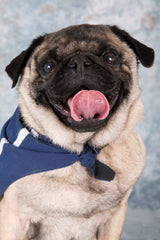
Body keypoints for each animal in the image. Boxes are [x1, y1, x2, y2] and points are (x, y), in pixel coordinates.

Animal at [0, 23, 155, 240]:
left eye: (110, 57)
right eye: (48, 66)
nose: (79, 62)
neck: (80, 150)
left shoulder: (114, 218)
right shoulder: (13, 218)